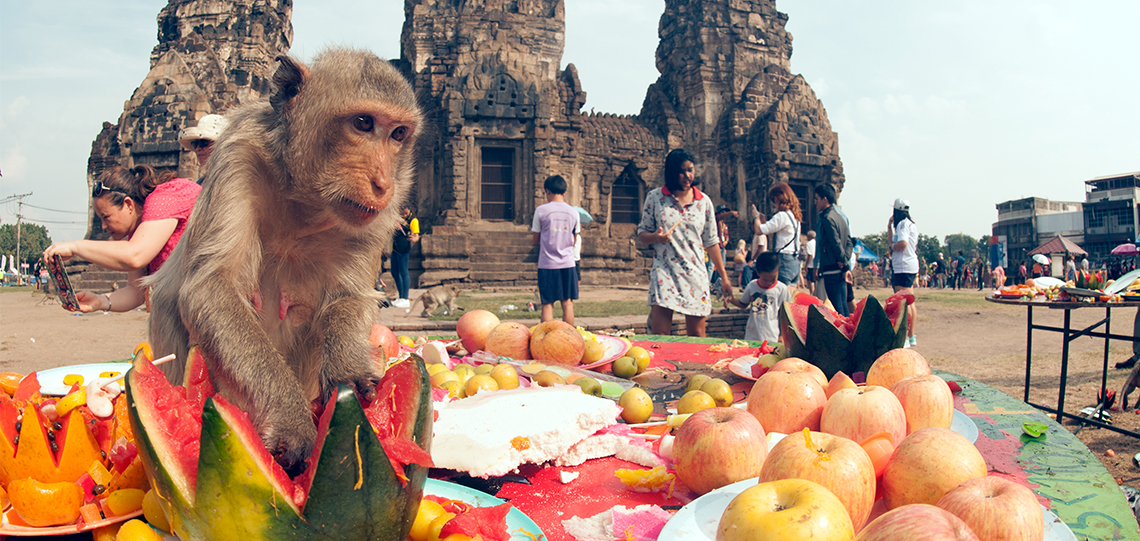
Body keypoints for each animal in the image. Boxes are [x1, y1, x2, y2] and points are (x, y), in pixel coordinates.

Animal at [145, 48, 424, 476]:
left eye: (398, 134)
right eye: (363, 123)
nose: (381, 183)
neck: (306, 201)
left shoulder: (384, 211)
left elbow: (350, 297)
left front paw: (347, 371)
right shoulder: (237, 155)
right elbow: (212, 286)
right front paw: (290, 419)